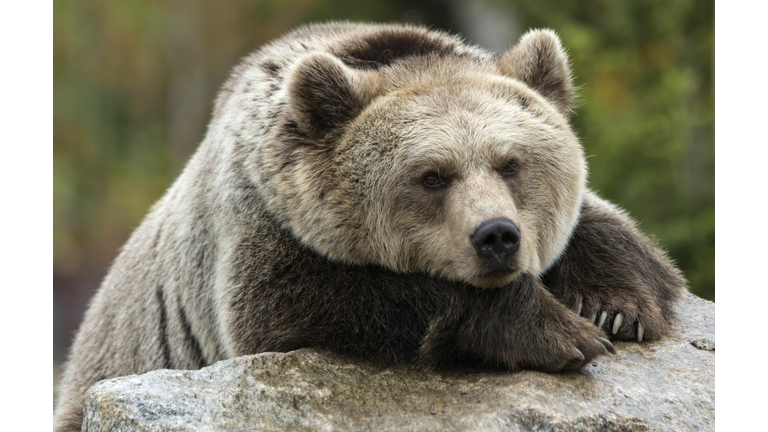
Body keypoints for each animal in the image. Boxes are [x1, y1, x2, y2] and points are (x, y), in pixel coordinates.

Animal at [57, 22, 688, 430]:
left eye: (511, 163)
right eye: (432, 176)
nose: (496, 236)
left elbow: (618, 236)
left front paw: (613, 306)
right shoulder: (260, 222)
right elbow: (306, 304)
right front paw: (558, 330)